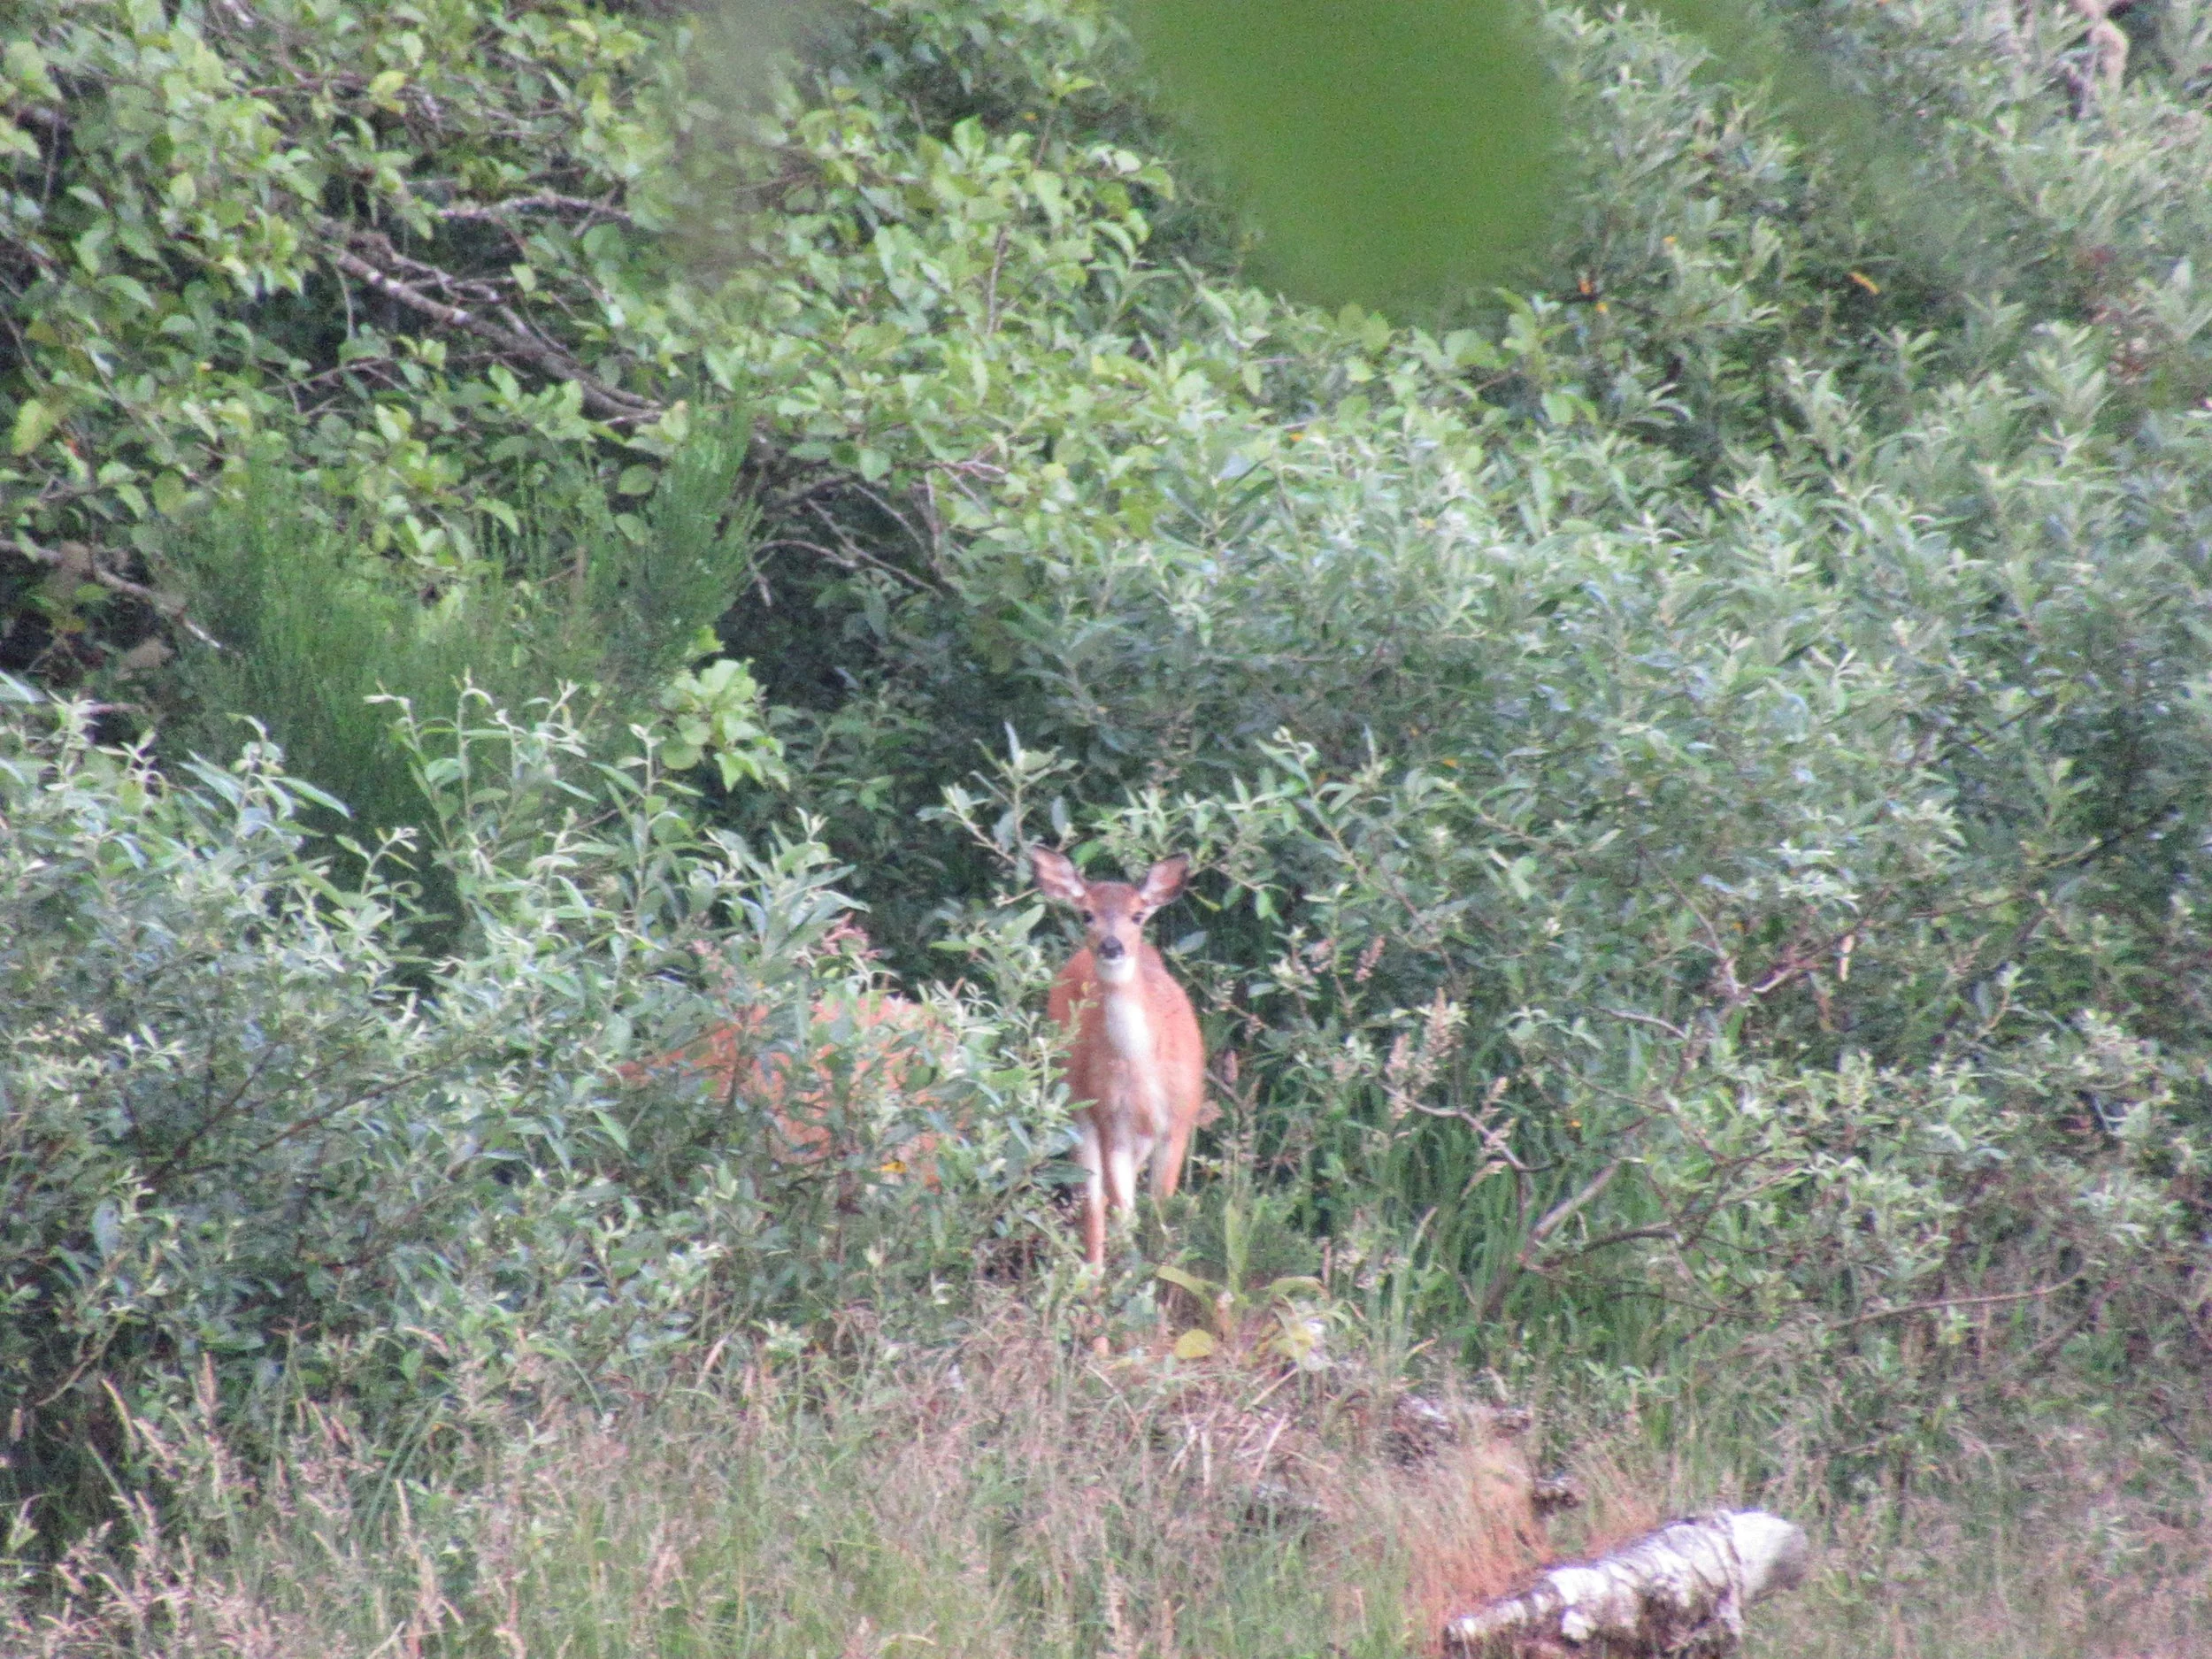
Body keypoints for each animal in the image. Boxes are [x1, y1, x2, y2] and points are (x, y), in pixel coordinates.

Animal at [1032, 847, 1211, 1268]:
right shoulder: (1112, 1121)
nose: (1112, 946)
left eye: (1137, 914)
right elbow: (1122, 1212)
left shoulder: (1179, 1119)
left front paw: (1162, 1275)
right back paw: (1093, 1277)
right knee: (1093, 1202)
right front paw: (1133, 1276)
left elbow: (1160, 1213)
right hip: (1076, 1104)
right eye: (1086, 914)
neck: (1146, 1066)